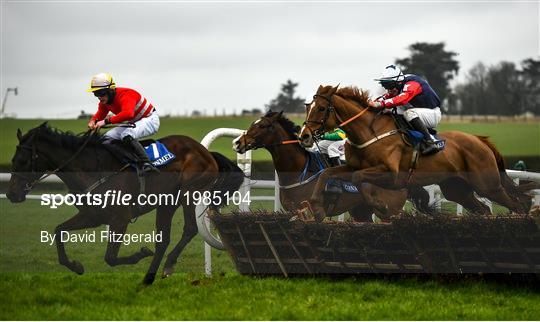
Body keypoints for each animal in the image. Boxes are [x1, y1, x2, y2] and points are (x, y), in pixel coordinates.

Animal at [5, 123, 243, 284]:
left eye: (22, 161)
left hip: (189, 192)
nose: (11, 194)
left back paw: (168, 265)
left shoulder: (120, 219)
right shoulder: (92, 216)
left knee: (190, 228)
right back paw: (148, 278)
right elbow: (58, 230)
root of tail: (205, 151)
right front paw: (75, 266)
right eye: (13, 160)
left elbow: (110, 257)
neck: (91, 168)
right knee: (163, 240)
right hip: (167, 202)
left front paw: (140, 254)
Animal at [234, 110, 432, 221]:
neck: (299, 171)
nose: (238, 142)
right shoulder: (295, 211)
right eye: (253, 123)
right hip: (361, 211)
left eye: (263, 126)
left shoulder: (311, 212)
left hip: (390, 209)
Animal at [298, 84, 528, 221]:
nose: (304, 136)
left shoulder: (392, 175)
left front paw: (381, 206)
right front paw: (314, 208)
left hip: (487, 184)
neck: (369, 132)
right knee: (485, 209)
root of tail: (480, 140)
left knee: (516, 204)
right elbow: (327, 174)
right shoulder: (352, 165)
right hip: (457, 188)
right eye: (307, 107)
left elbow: (359, 179)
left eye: (320, 109)